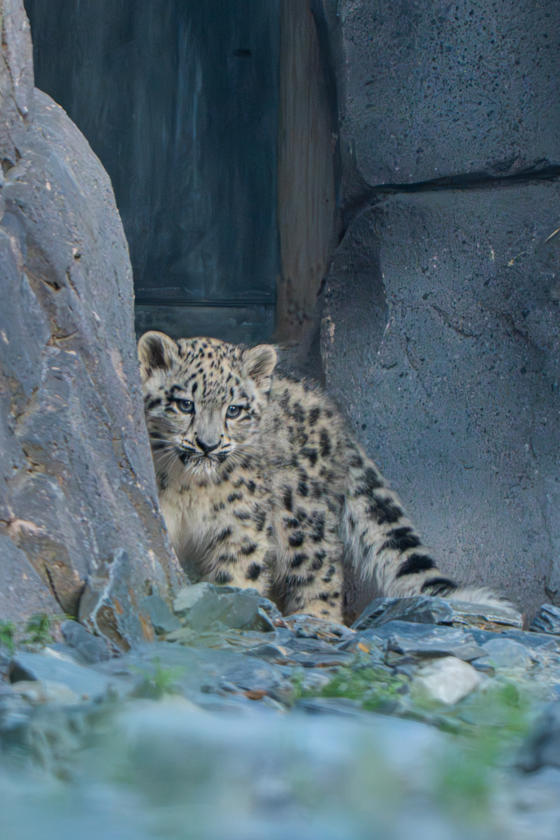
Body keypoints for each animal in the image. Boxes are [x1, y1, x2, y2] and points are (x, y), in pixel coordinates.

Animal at [138, 330, 508, 624]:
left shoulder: (241, 524)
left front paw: (227, 607)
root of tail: (332, 413)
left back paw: (316, 619)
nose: (208, 444)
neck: (190, 488)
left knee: (320, 566)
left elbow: (239, 572)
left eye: (234, 409)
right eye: (185, 404)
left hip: (302, 512)